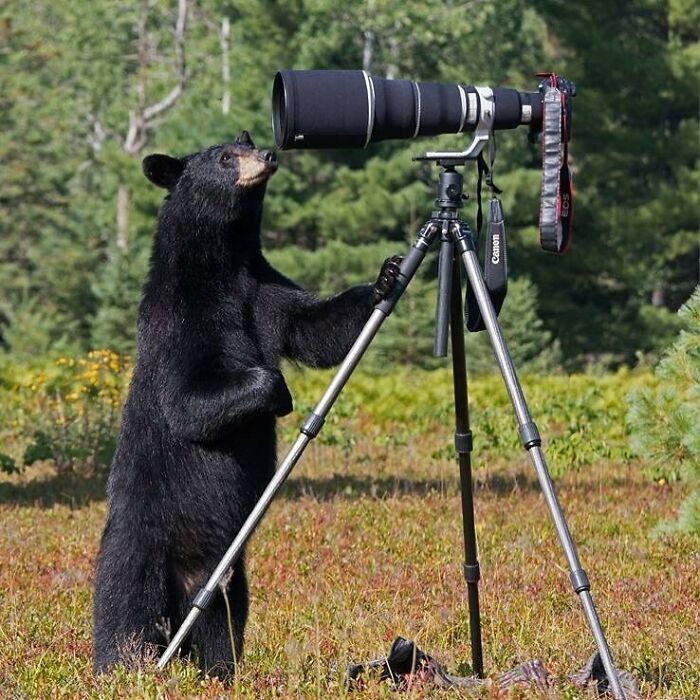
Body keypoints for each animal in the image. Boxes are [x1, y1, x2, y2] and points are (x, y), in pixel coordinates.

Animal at [92, 130, 401, 679]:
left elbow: (316, 326)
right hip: (140, 543)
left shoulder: (264, 290)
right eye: (224, 157)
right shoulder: (179, 322)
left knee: (223, 618)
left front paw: (386, 278)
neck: (224, 265)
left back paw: (219, 670)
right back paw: (122, 665)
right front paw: (279, 393)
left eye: (248, 140)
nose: (268, 155)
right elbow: (188, 402)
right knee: (125, 602)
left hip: (223, 573)